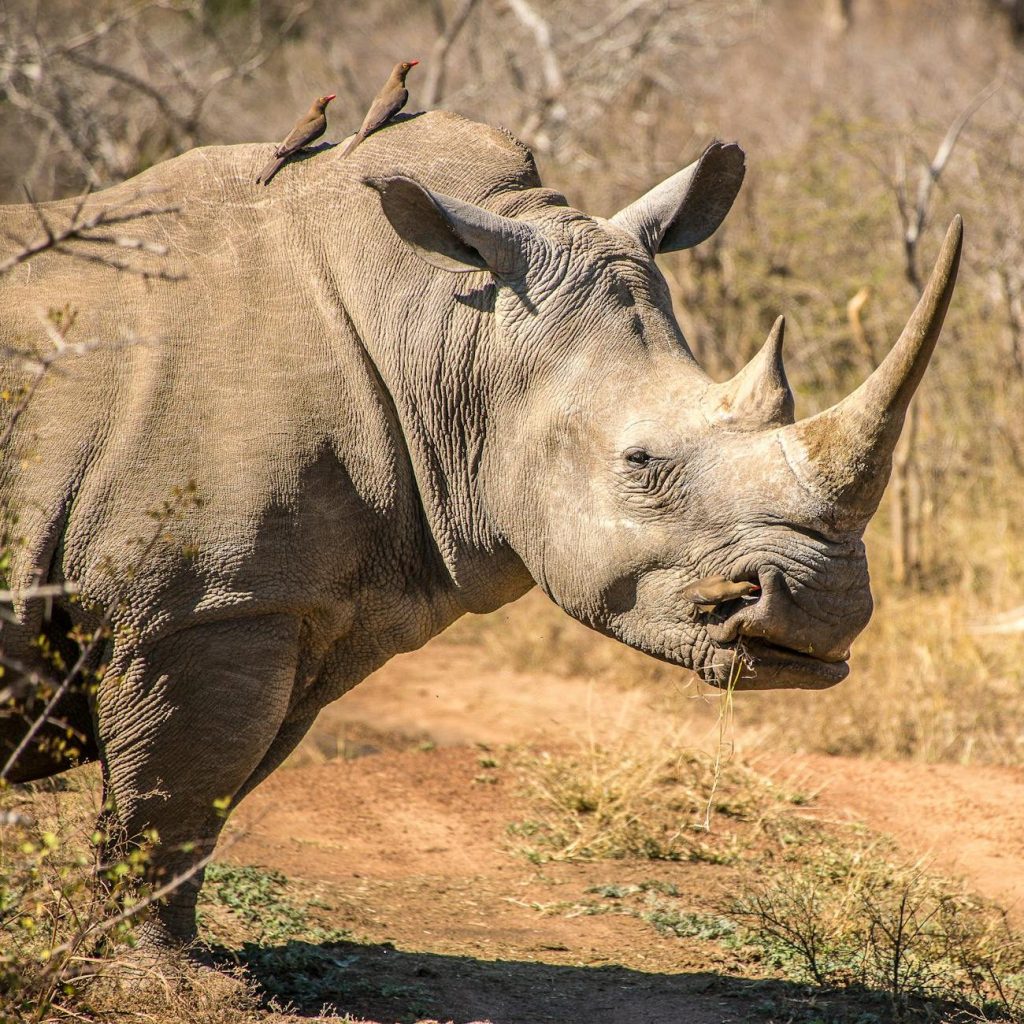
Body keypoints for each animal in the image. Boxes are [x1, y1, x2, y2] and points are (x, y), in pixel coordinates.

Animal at [0, 111, 961, 954]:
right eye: (641, 462)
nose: (822, 611)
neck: (444, 332)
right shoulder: (204, 601)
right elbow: (172, 800)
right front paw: (154, 976)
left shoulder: (284, 603)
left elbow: (208, 797)